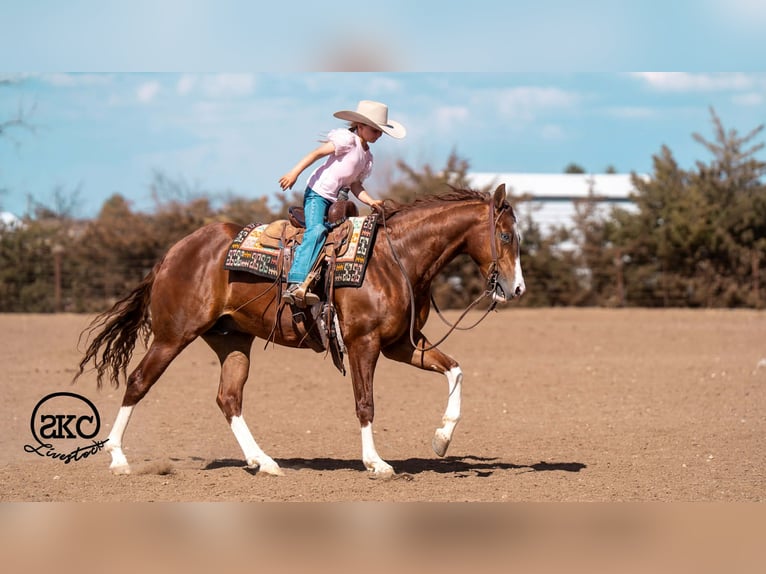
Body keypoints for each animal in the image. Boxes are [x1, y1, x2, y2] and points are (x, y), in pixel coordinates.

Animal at [74, 184, 525, 478]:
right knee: (138, 381)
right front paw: (376, 463)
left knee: (228, 398)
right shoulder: (364, 343)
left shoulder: (401, 344)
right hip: (173, 335)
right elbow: (365, 403)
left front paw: (442, 439)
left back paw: (264, 462)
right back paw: (118, 459)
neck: (396, 258)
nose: (517, 288)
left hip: (232, 341)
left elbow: (455, 369)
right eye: (505, 234)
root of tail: (172, 253)